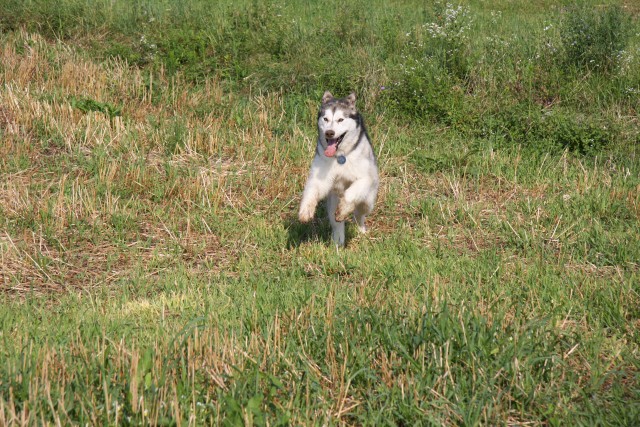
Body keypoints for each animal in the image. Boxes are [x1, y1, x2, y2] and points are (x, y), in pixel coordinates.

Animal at [300, 93, 380, 247]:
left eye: (340, 119)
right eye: (326, 119)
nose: (329, 133)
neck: (340, 156)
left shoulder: (365, 178)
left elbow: (351, 193)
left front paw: (344, 208)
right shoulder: (320, 176)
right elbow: (312, 190)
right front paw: (306, 209)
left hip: (368, 201)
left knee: (359, 214)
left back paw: (360, 230)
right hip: (333, 201)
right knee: (336, 222)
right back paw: (338, 241)